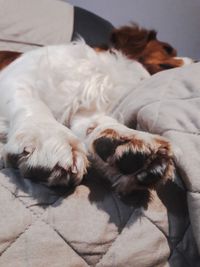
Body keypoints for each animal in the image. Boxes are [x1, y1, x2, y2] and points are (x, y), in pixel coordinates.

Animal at [0, 25, 191, 195]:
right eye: (167, 49)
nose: (196, 61)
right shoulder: (17, 76)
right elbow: (32, 102)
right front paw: (50, 136)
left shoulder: (86, 109)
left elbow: (98, 122)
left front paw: (128, 140)